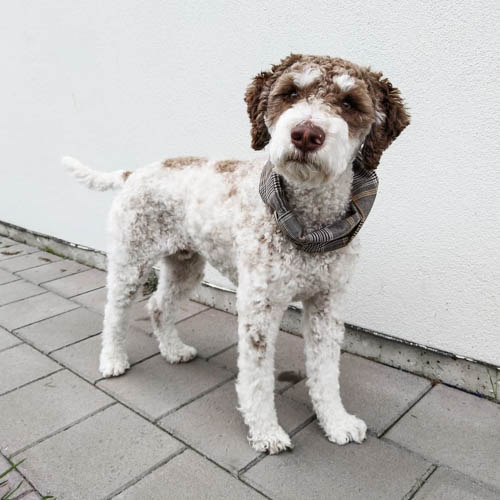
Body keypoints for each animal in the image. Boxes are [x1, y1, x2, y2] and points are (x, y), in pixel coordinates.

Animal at [64, 53, 408, 454]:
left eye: (350, 103)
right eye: (291, 93)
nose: (306, 134)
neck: (309, 227)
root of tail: (135, 172)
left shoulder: (328, 302)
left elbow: (325, 371)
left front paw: (336, 422)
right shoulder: (260, 305)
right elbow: (257, 378)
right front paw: (267, 433)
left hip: (185, 264)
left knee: (159, 306)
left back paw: (174, 351)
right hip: (131, 261)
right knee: (114, 313)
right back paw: (113, 360)